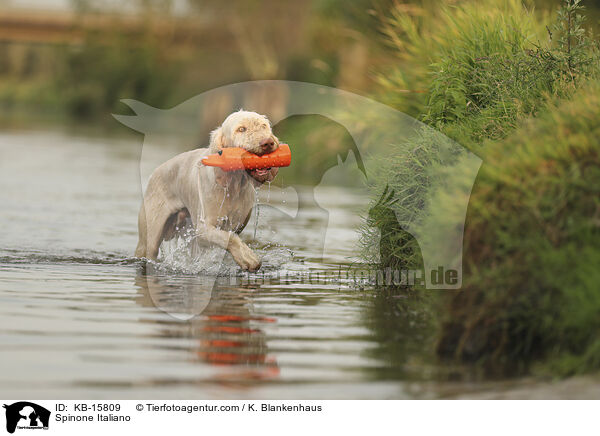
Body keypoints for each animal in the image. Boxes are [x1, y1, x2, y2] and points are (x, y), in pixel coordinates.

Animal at [135, 110, 280, 270]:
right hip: (149, 238)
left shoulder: (236, 225)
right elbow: (229, 238)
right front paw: (248, 258)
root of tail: (154, 172)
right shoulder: (202, 230)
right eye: (241, 129)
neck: (233, 186)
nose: (268, 142)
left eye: (264, 126)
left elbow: (231, 236)